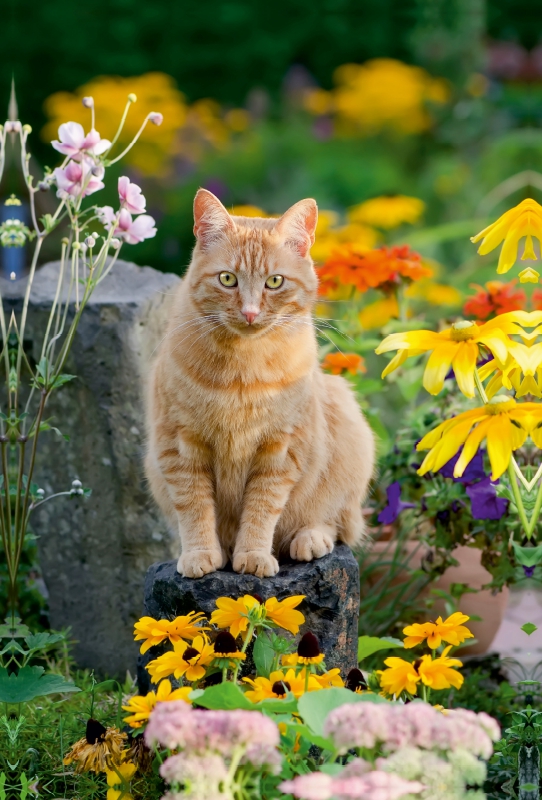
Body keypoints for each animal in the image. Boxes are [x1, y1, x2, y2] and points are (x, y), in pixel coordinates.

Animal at [147, 189, 376, 576]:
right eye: (227, 279)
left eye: (274, 281)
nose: (251, 313)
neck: (242, 368)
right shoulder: (179, 446)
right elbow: (194, 506)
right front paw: (199, 553)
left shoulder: (280, 451)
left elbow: (262, 509)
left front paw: (253, 555)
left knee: (338, 523)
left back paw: (310, 538)